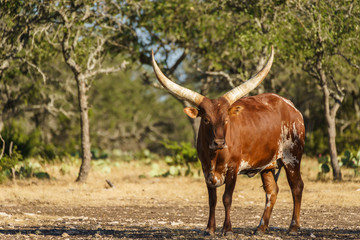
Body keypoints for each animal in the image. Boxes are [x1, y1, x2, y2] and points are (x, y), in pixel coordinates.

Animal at [151, 47, 304, 236]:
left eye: (225, 120)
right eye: (206, 119)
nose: (219, 143)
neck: (215, 155)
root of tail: (292, 107)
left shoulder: (233, 168)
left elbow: (227, 198)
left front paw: (227, 229)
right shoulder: (206, 170)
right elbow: (212, 199)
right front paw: (209, 229)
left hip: (292, 157)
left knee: (297, 187)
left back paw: (293, 227)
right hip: (267, 165)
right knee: (272, 191)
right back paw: (261, 227)